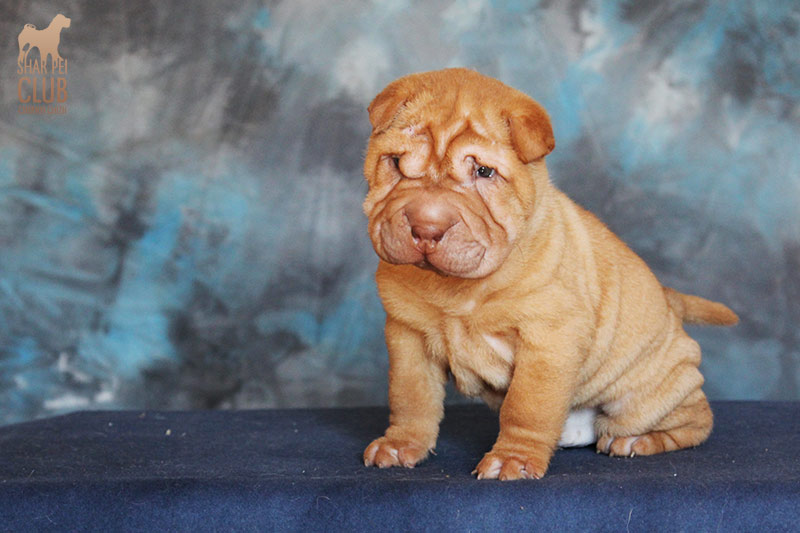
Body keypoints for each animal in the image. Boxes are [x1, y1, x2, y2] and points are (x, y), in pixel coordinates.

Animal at [361, 68, 738, 480]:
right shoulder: (407, 336)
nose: (426, 227)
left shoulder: (548, 338)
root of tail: (670, 302)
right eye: (397, 163)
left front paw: (513, 457)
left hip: (641, 394)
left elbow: (527, 404)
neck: (457, 288)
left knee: (694, 418)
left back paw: (641, 440)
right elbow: (411, 397)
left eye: (484, 171)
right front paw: (401, 444)